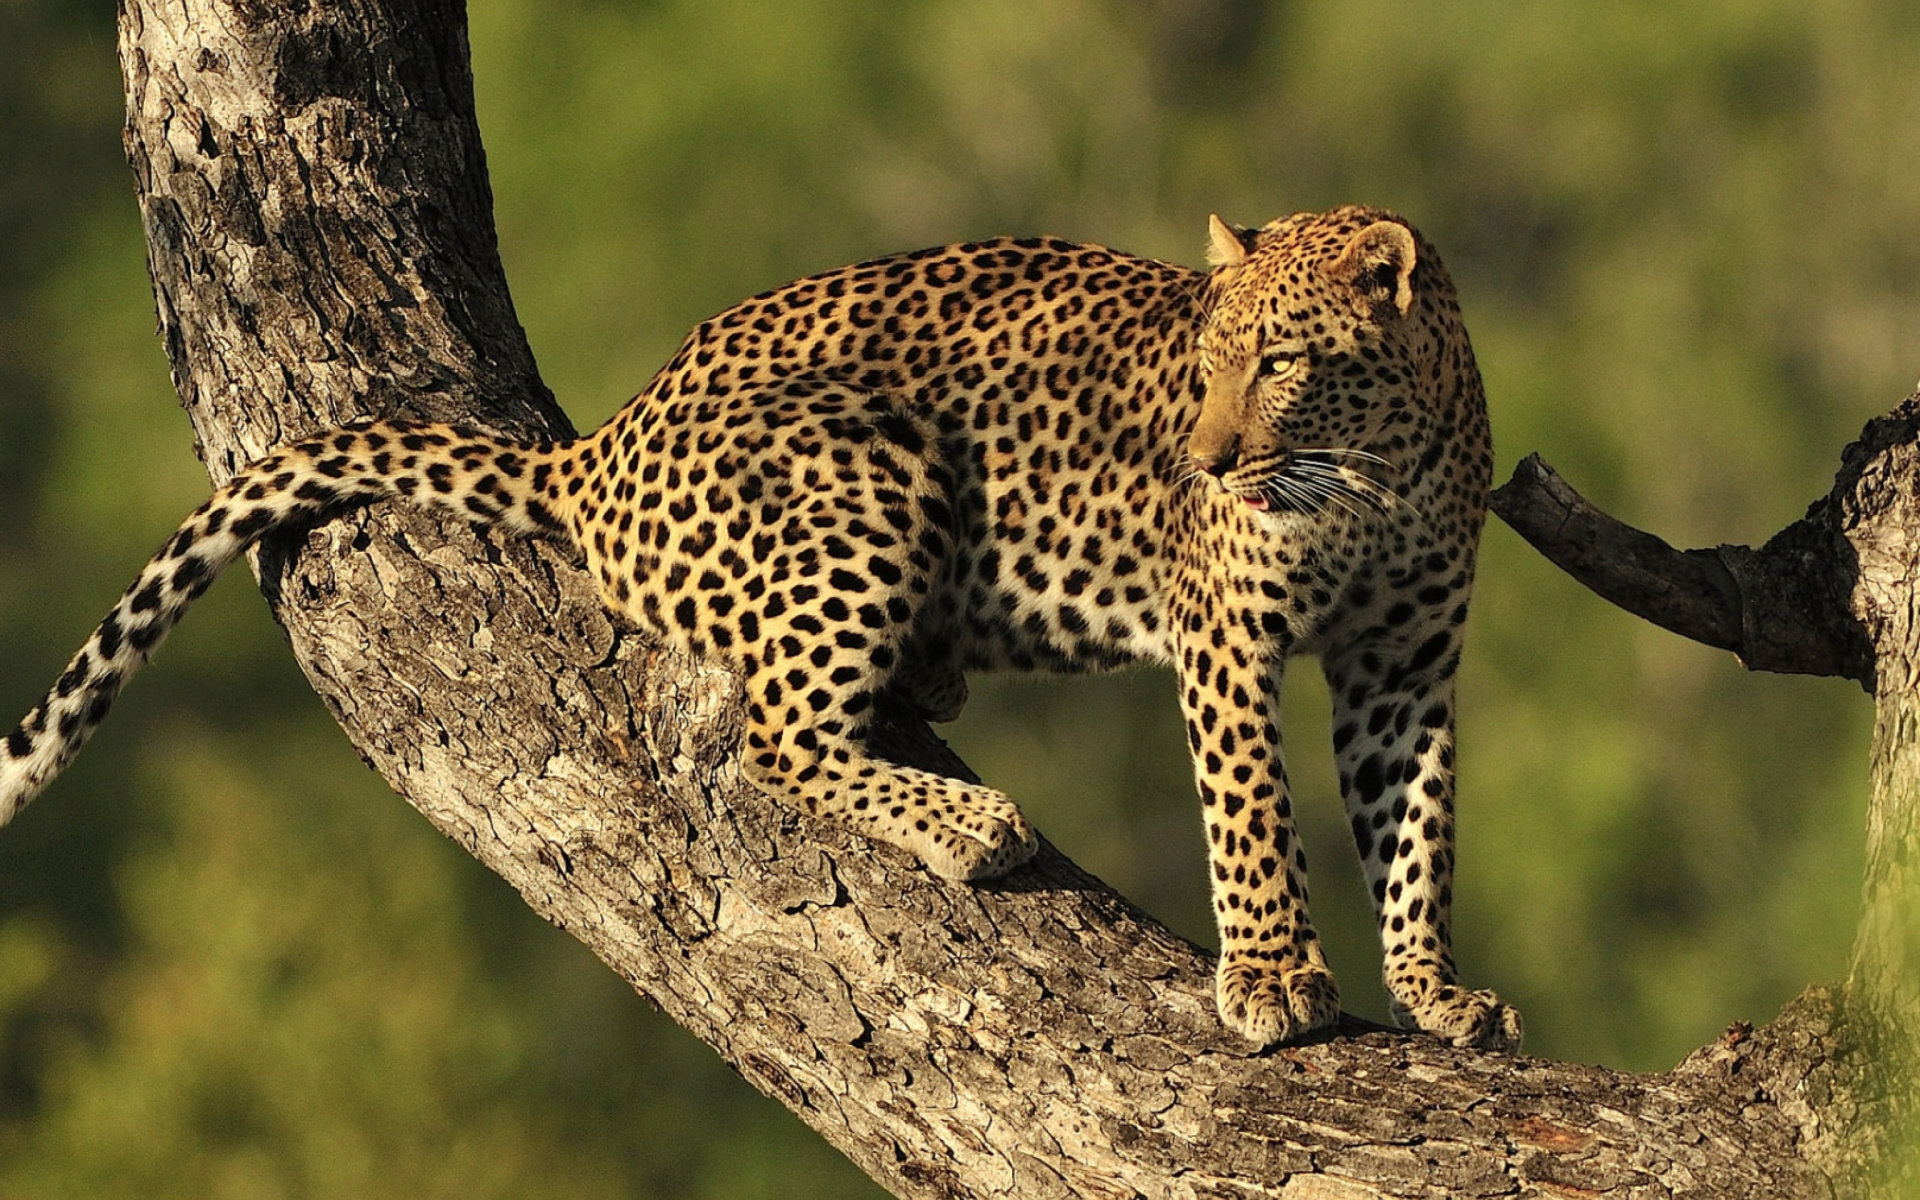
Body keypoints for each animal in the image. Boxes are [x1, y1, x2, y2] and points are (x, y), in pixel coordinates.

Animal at [7, 203, 1520, 1044]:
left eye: (1282, 362)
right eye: (1204, 362)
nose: (1199, 466)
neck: (1378, 466)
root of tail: (601, 448)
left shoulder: (1407, 664)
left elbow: (1419, 832)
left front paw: (1438, 994)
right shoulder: (1231, 640)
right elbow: (1254, 812)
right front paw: (1271, 978)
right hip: (866, 465)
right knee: (778, 739)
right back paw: (970, 823)